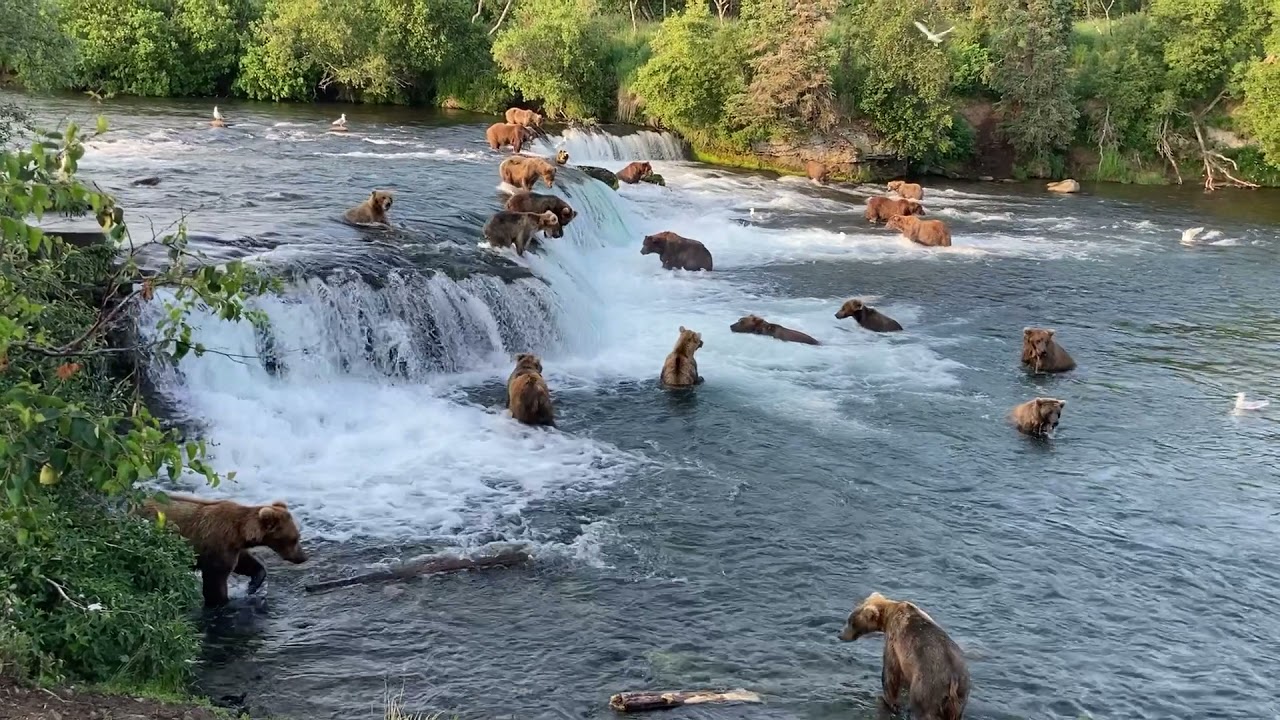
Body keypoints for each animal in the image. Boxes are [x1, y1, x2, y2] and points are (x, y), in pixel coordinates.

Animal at [138, 494, 308, 608]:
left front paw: (252, 585)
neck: (240, 532)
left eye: (298, 536)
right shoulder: (217, 545)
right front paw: (221, 601)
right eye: (294, 538)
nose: (303, 557)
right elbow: (215, 582)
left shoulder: (232, 548)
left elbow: (244, 563)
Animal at [838, 591, 970, 720]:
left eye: (851, 622)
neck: (888, 615)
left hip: (928, 687)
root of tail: (953, 679)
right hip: (960, 696)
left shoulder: (895, 641)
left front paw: (889, 701)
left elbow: (891, 672)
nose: (840, 635)